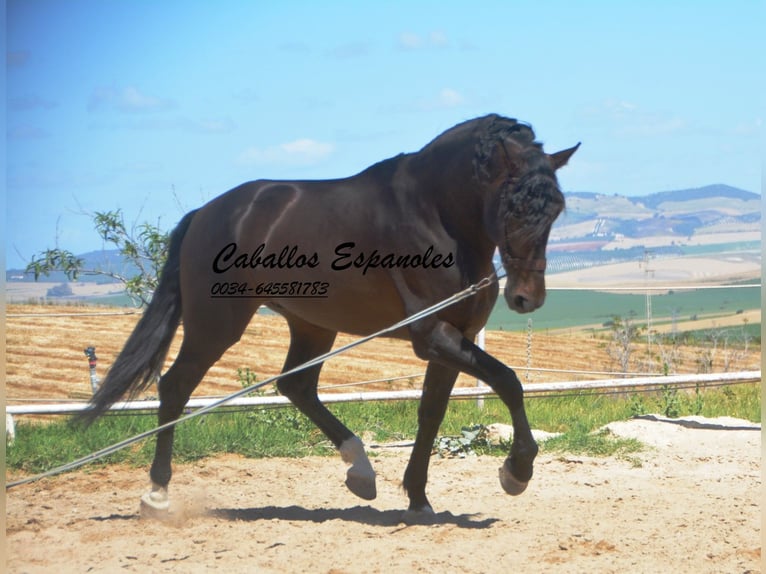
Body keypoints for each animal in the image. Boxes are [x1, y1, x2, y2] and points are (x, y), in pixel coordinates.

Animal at [79, 115, 584, 524]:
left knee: (296, 386)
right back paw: (157, 496)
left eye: (557, 208)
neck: (437, 216)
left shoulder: (453, 336)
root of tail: (206, 214)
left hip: (313, 325)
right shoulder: (432, 335)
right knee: (175, 388)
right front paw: (516, 471)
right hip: (216, 324)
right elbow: (509, 381)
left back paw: (360, 473)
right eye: (514, 206)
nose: (526, 298)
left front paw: (418, 499)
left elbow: (431, 413)